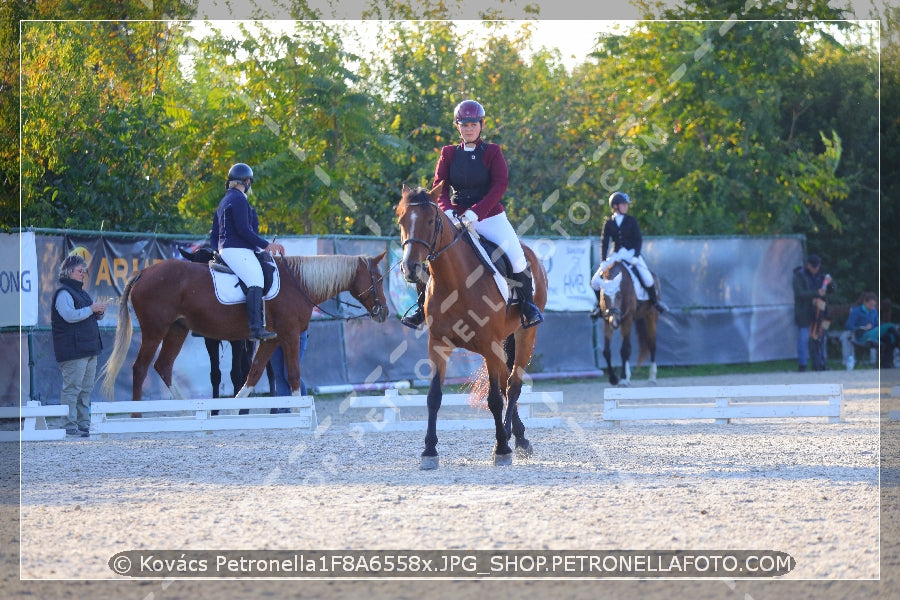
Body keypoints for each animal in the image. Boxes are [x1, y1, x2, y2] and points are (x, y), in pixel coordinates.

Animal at [100, 251, 388, 406]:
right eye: (379, 278)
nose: (383, 312)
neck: (299, 283)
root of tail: (144, 273)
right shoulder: (290, 336)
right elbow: (293, 376)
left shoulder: (272, 339)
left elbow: (254, 374)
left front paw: (232, 411)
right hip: (154, 330)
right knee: (140, 368)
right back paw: (136, 415)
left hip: (176, 331)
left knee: (163, 366)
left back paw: (185, 409)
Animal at [396, 183, 548, 468]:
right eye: (401, 220)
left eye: (430, 220)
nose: (410, 268)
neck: (455, 282)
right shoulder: (438, 345)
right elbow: (434, 397)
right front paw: (429, 451)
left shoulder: (489, 345)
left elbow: (494, 400)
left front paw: (501, 448)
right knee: (507, 383)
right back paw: (518, 437)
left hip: (525, 333)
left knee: (513, 385)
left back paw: (513, 439)